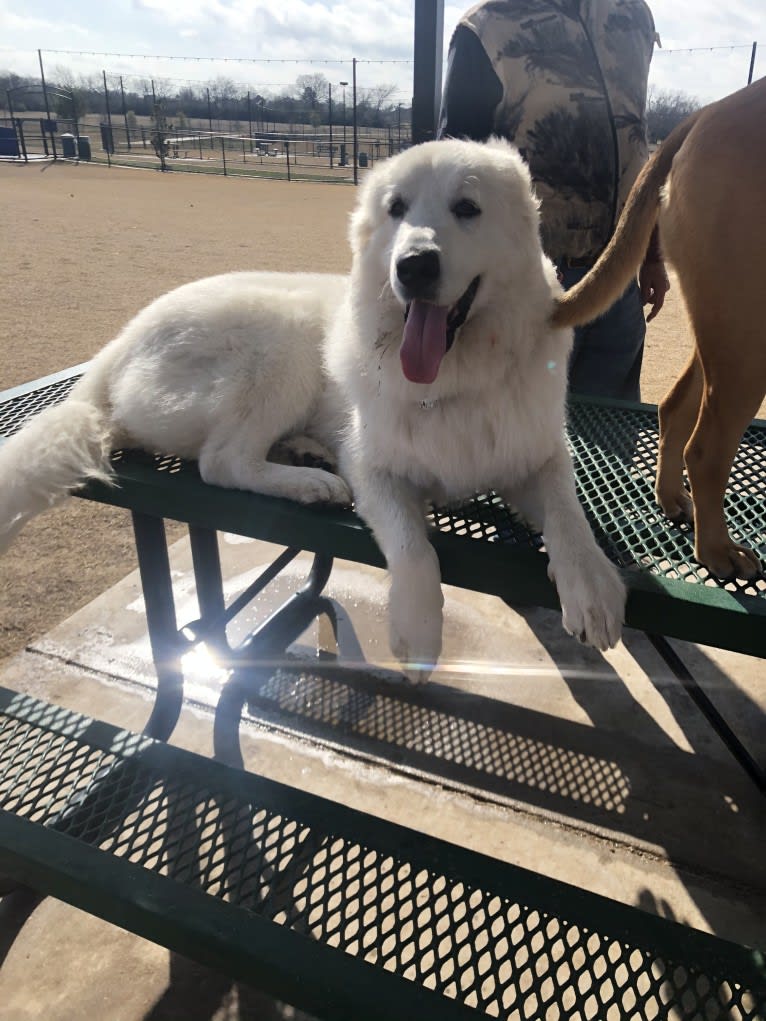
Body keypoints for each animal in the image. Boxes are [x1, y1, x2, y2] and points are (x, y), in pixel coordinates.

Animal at [0, 137, 625, 677]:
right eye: (396, 209)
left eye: (467, 208)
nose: (413, 266)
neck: (455, 375)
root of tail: (119, 345)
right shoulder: (375, 470)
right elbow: (414, 547)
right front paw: (418, 630)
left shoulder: (537, 456)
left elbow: (567, 514)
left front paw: (591, 585)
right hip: (286, 340)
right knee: (222, 461)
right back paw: (311, 483)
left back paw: (304, 453)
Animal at [551, 75, 766, 579]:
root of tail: (706, 113)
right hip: (746, 326)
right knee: (705, 451)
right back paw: (717, 550)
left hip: (724, 321)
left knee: (674, 406)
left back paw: (671, 497)